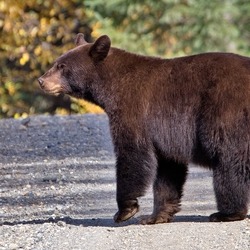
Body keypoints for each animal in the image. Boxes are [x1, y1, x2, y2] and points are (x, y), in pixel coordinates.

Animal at [37, 33, 250, 225]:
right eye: (56, 63)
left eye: (62, 66)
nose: (41, 80)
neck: (111, 86)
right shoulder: (166, 134)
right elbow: (168, 170)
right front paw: (156, 216)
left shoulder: (134, 111)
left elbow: (132, 154)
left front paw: (125, 211)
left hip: (225, 113)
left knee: (229, 161)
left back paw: (227, 213)